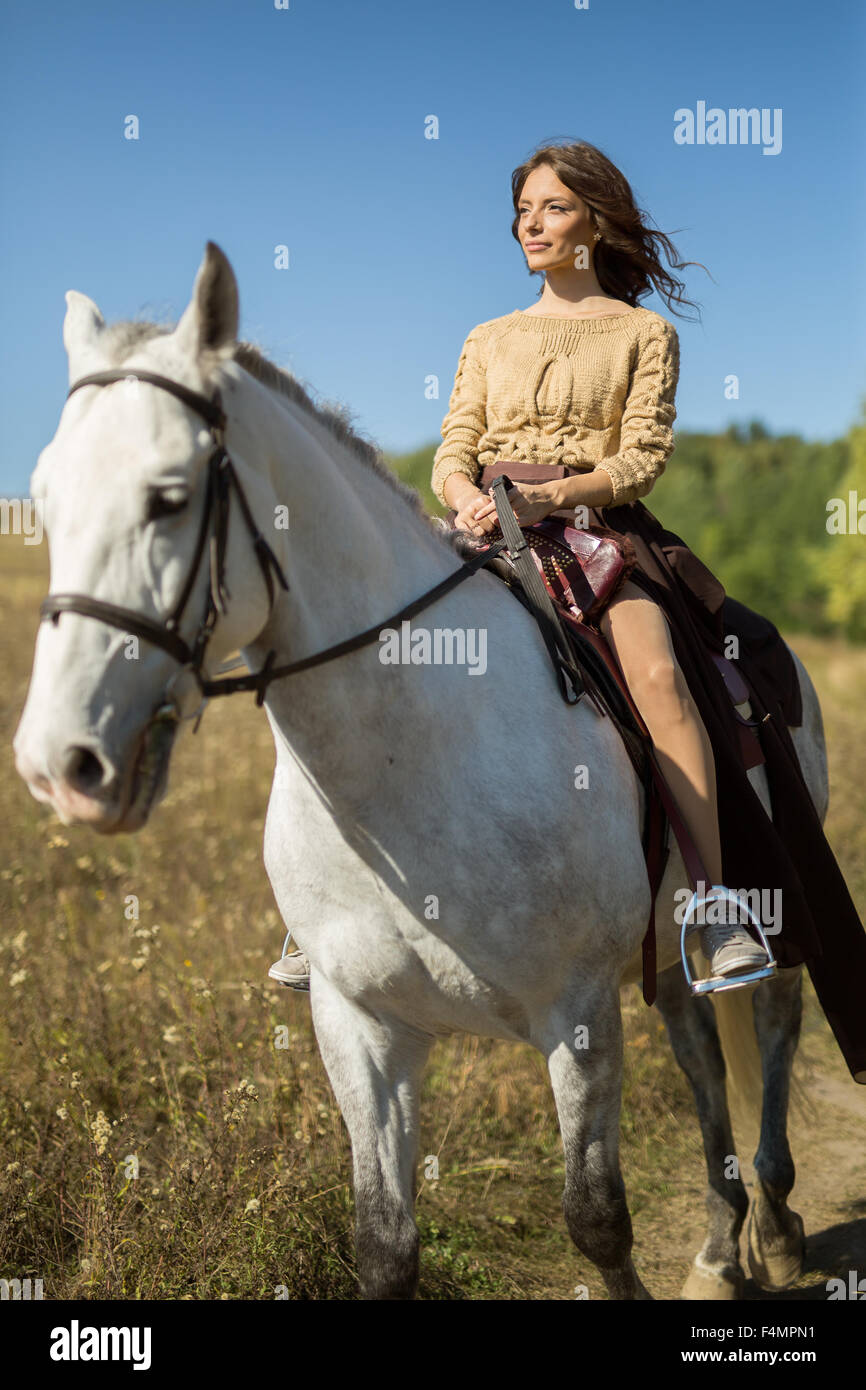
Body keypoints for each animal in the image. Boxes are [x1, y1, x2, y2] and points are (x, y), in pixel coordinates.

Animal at [16, 244, 822, 1295]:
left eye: (168, 497)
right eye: (46, 497)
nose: (60, 763)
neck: (409, 766)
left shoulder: (577, 1017)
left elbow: (597, 1221)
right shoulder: (362, 1030)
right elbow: (385, 1243)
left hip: (770, 900)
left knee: (771, 1027)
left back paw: (777, 1225)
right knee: (700, 1054)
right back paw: (724, 1248)